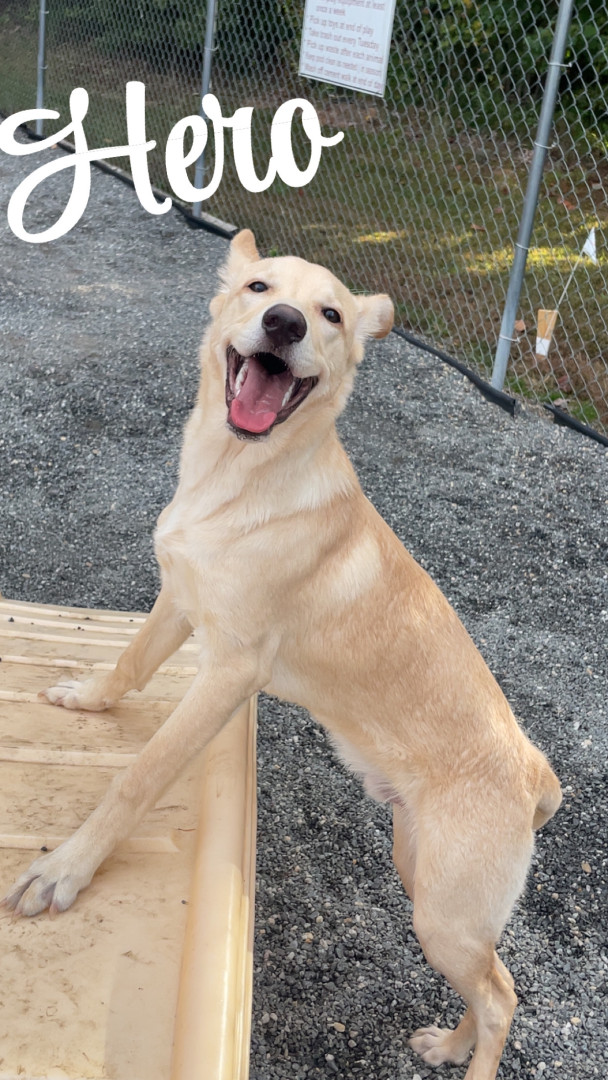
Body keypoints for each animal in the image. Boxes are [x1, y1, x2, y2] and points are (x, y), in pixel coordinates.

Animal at [3, 230, 561, 1079]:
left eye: (330, 314)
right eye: (260, 287)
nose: (285, 322)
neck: (236, 478)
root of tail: (536, 776)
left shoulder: (230, 674)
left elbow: (139, 777)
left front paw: (65, 868)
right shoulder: (179, 599)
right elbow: (130, 664)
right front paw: (86, 696)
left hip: (443, 911)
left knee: (503, 997)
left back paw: (469, 1059)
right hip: (426, 883)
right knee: (489, 981)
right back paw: (447, 1042)